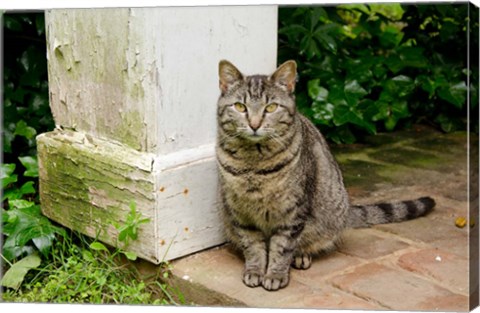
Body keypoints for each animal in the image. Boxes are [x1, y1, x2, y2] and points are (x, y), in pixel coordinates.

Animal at [216, 60, 434, 290]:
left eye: (271, 107)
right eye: (240, 107)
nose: (255, 124)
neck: (254, 163)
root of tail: (347, 211)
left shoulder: (293, 212)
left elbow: (282, 247)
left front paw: (275, 274)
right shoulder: (240, 212)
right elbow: (252, 246)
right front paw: (255, 270)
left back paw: (301, 256)